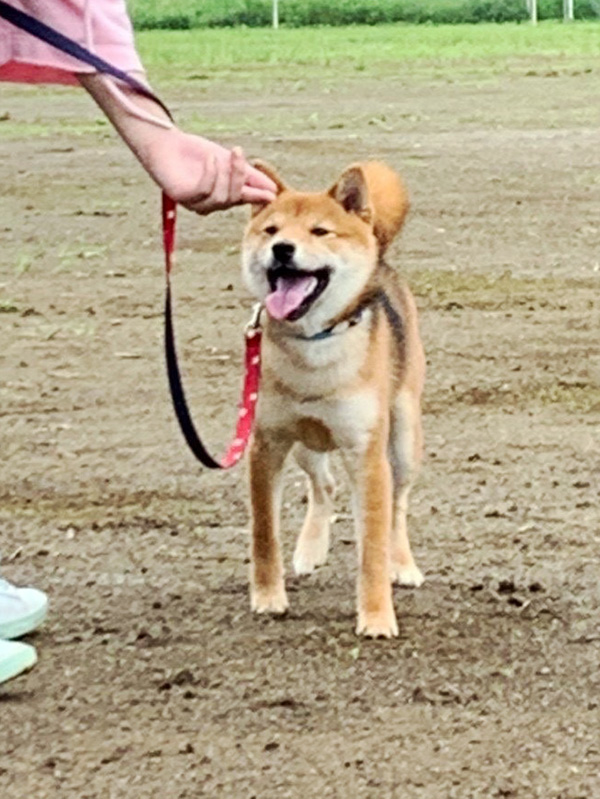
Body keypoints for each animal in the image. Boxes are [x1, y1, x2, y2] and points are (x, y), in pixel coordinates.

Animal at [241, 161, 424, 636]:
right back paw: (310, 550)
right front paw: (268, 597)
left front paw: (376, 615)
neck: (313, 346)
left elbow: (372, 547)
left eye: (320, 231)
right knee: (323, 485)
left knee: (397, 508)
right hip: (307, 443)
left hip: (403, 440)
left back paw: (403, 564)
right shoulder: (266, 445)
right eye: (271, 230)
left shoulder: (366, 453)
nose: (283, 249)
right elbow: (264, 534)